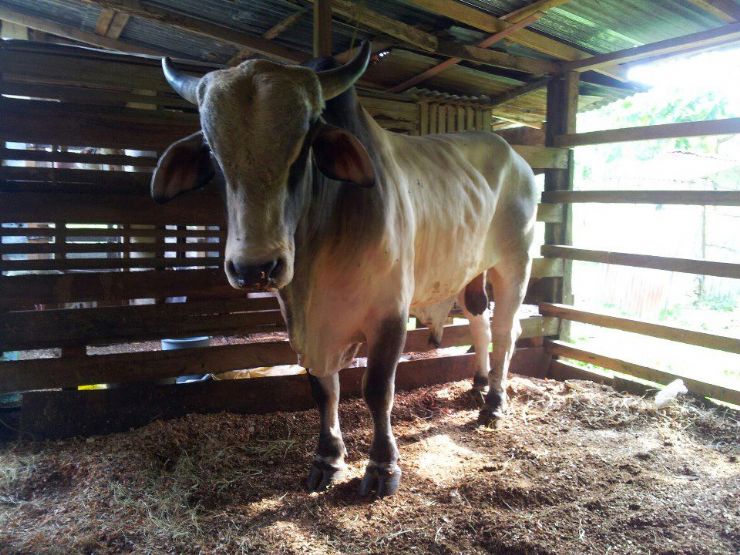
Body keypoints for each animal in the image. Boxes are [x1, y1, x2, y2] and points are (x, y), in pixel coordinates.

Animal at [153, 42, 536, 496]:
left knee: (506, 329)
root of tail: (515, 157)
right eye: (213, 151)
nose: (255, 266)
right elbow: (324, 389)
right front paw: (328, 459)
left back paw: (494, 402)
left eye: (304, 146)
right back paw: (479, 383)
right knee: (480, 322)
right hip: (471, 271)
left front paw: (382, 467)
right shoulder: (303, 326)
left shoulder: (389, 314)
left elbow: (377, 390)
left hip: (515, 263)